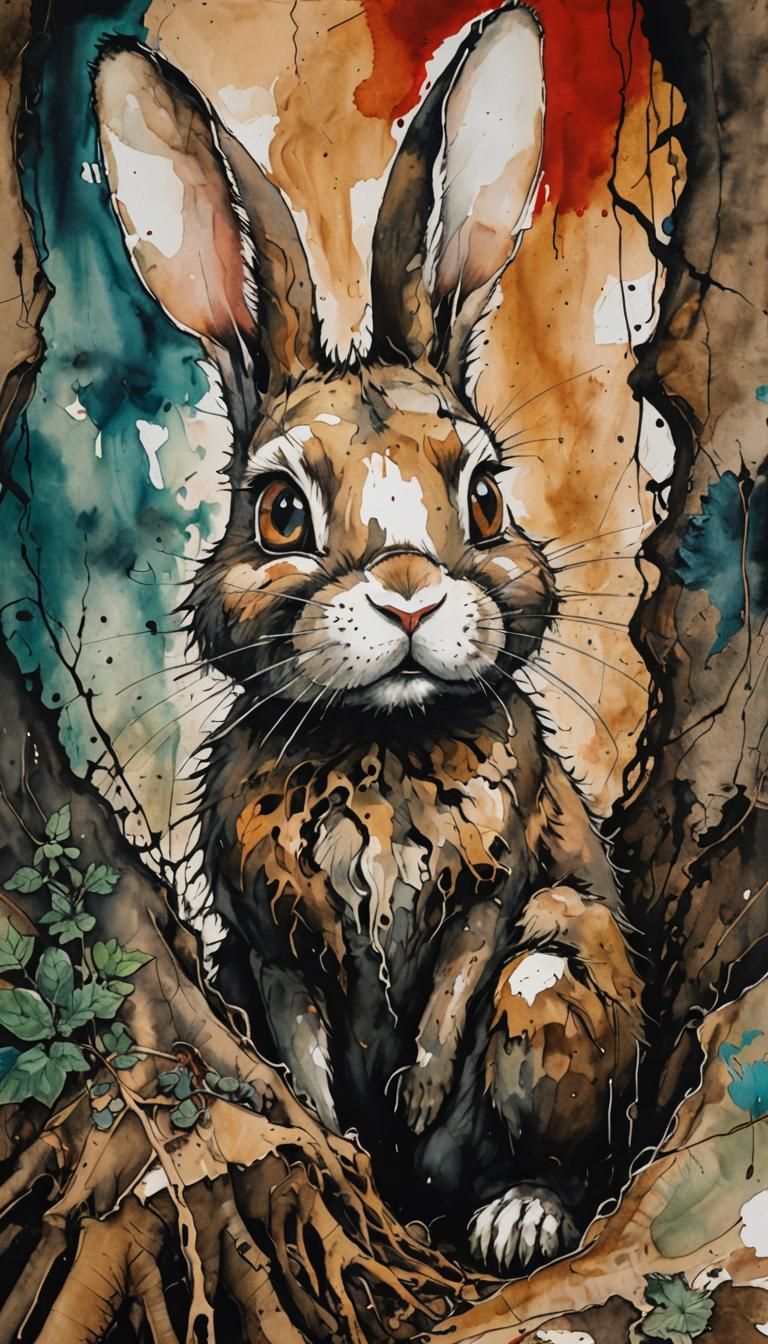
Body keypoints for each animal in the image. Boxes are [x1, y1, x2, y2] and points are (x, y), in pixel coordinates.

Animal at [94, 2, 645, 1271]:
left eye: (485, 497)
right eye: (280, 512)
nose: (407, 594)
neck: (383, 745)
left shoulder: (500, 878)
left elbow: (457, 984)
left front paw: (418, 1096)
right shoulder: (266, 937)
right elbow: (300, 1049)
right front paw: (344, 1138)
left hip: (561, 986)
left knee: (551, 1081)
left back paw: (515, 1218)